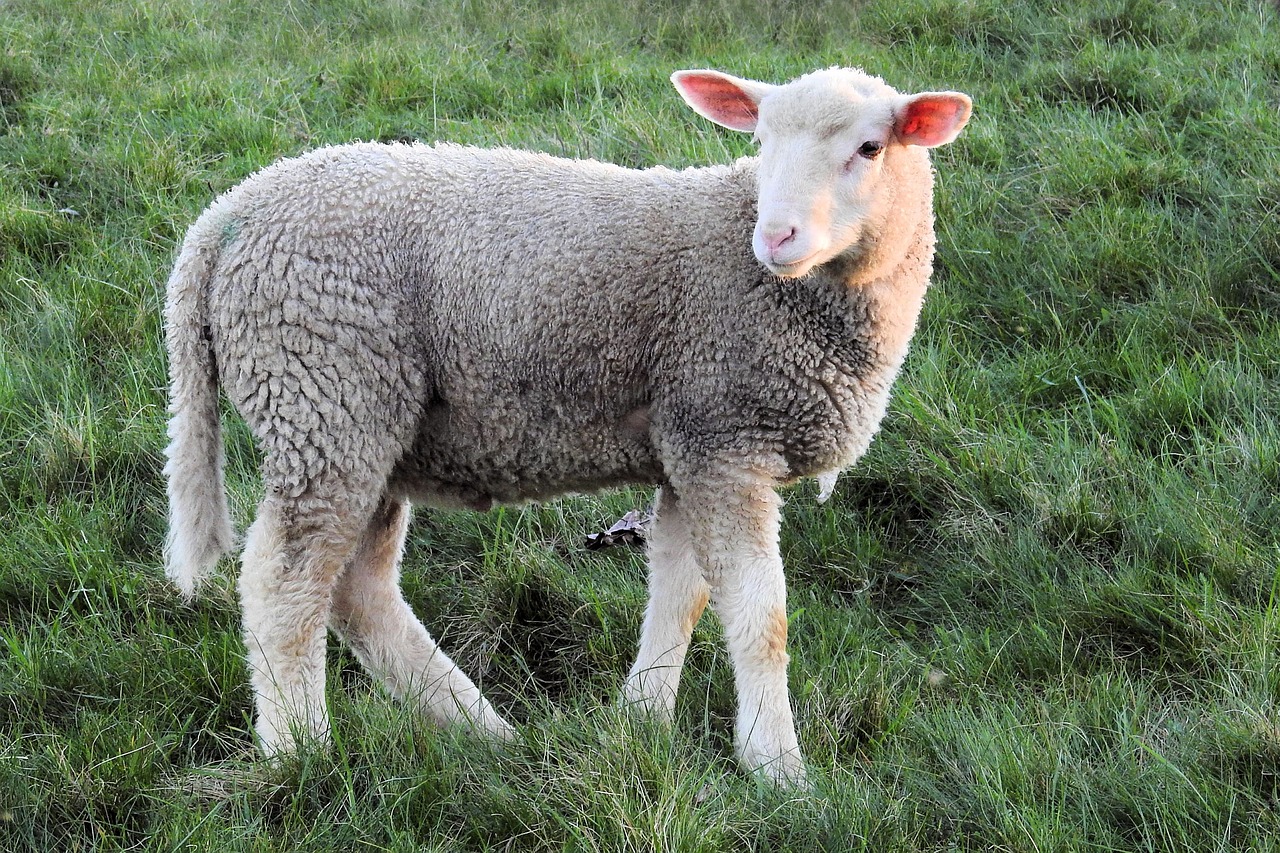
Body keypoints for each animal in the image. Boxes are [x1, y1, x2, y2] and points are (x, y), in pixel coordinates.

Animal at [162, 66, 971, 785]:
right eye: (762, 139)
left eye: (870, 148)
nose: (776, 237)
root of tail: (218, 225)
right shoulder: (725, 438)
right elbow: (757, 615)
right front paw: (778, 768)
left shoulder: (689, 438)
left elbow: (680, 594)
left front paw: (642, 721)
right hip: (324, 394)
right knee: (284, 587)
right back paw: (301, 754)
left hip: (365, 423)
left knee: (359, 591)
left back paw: (479, 730)